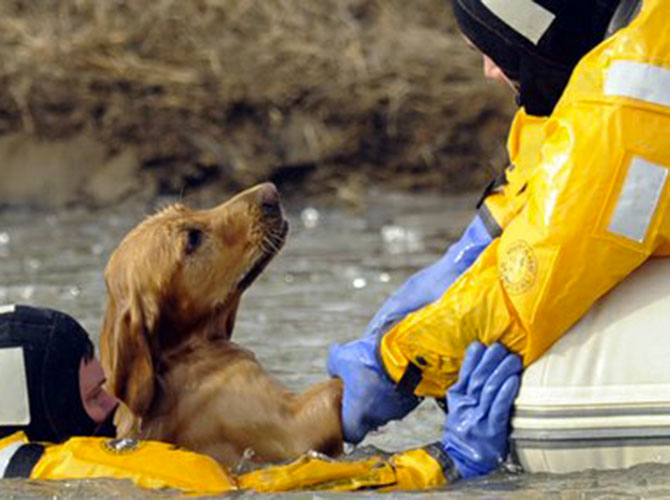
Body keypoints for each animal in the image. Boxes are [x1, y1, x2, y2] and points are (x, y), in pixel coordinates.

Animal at [102, 184, 344, 468]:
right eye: (192, 239)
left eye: (189, 209)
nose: (271, 191)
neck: (183, 351)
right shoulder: (291, 428)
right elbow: (334, 391)